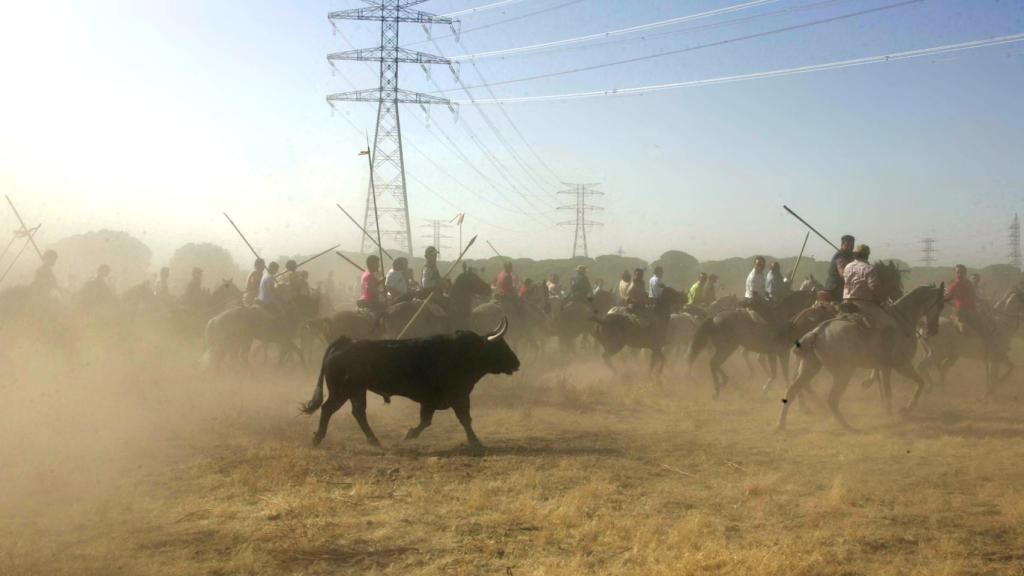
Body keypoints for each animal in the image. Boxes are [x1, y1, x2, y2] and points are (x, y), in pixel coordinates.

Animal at [299, 315, 516, 450]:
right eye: (500, 346)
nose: (517, 363)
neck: (464, 351)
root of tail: (346, 341)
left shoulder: (432, 401)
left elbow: (426, 421)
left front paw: (410, 434)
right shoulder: (458, 396)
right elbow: (464, 419)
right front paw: (475, 442)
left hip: (357, 391)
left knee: (358, 413)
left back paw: (374, 440)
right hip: (341, 391)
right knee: (328, 409)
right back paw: (318, 438)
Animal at [778, 284, 946, 428]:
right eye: (941, 305)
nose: (934, 329)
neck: (901, 321)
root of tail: (817, 332)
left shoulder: (885, 367)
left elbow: (887, 390)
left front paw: (888, 410)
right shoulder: (902, 365)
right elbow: (920, 383)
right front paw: (906, 409)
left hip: (809, 367)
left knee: (792, 391)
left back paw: (783, 424)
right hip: (843, 372)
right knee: (831, 399)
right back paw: (847, 426)